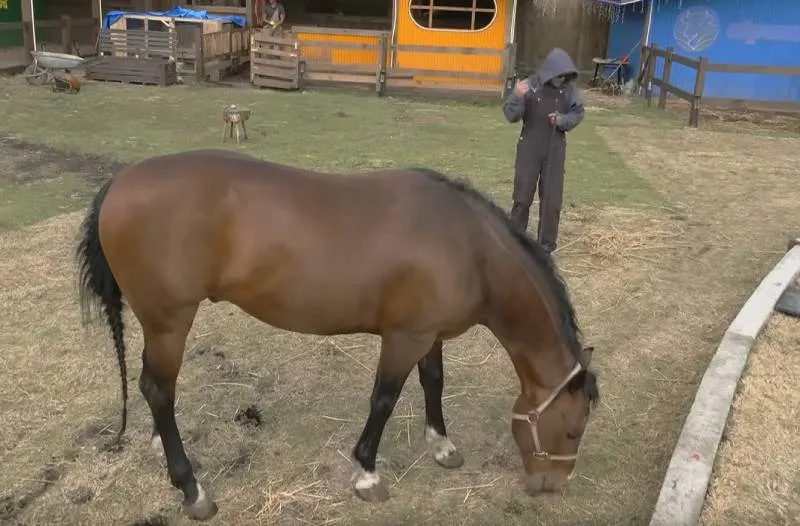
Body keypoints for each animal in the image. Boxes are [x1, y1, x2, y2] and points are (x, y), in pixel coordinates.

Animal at [75, 149, 599, 521]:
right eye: (572, 430)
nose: (554, 486)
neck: (469, 248)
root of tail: (119, 183)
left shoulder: (428, 334)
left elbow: (433, 383)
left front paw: (442, 446)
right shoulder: (403, 338)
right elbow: (384, 400)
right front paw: (367, 472)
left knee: (154, 389)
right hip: (169, 321)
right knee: (158, 390)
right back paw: (192, 489)